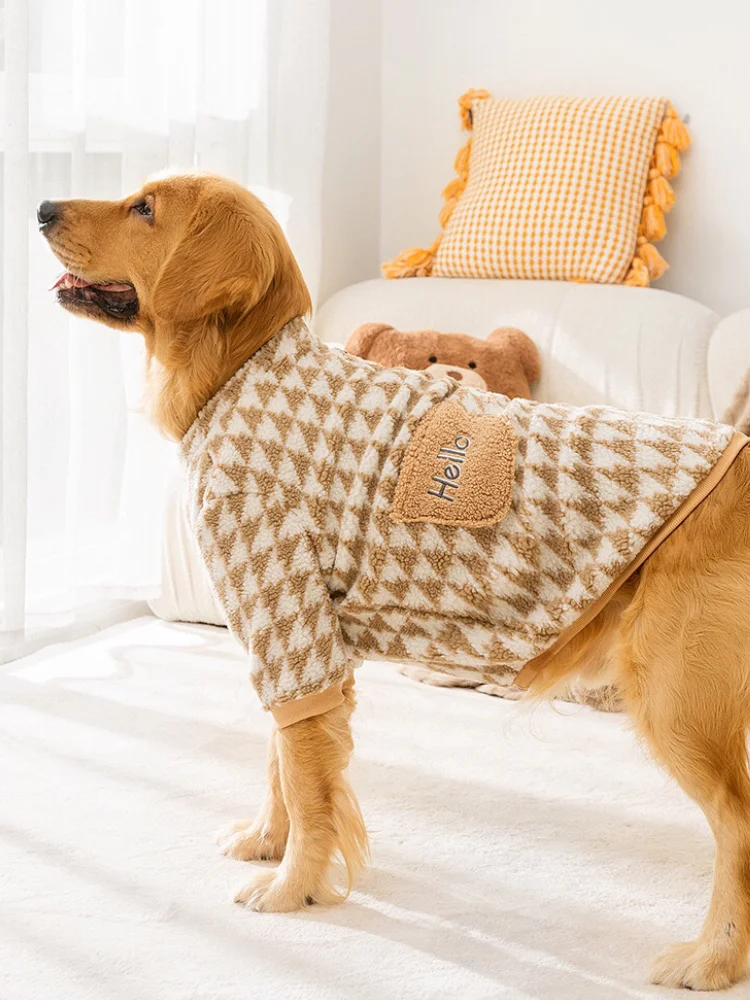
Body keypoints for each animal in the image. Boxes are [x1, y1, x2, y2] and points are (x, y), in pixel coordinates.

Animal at [39, 173, 750, 991]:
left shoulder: (291, 621)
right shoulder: (297, 636)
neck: (244, 372)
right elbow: (282, 761)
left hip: (675, 699)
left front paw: (293, 886)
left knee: (738, 829)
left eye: (145, 209)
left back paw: (714, 956)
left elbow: (305, 782)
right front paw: (266, 841)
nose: (41, 210)